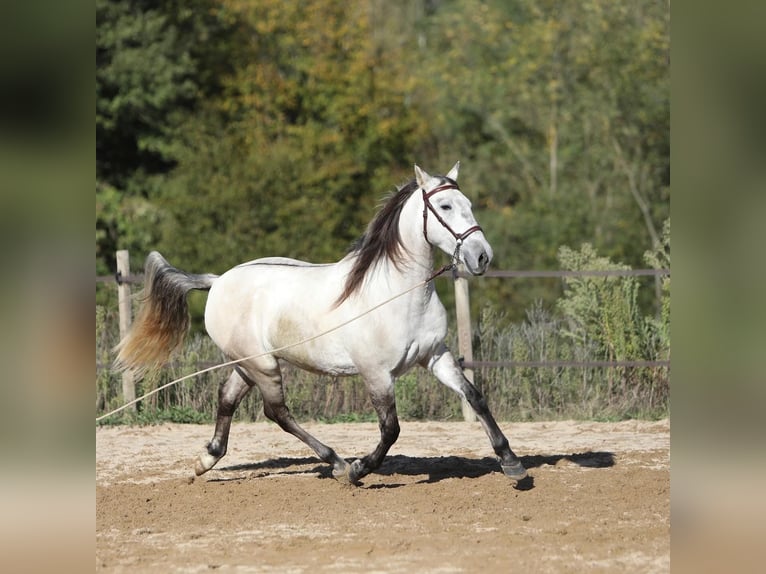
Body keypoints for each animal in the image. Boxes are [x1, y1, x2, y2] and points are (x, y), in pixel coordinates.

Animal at [117, 162, 528, 486]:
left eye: (469, 205)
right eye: (444, 205)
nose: (482, 257)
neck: (397, 293)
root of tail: (218, 281)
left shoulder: (435, 356)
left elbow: (475, 396)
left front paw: (512, 464)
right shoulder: (376, 374)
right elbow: (391, 429)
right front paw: (359, 469)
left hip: (248, 363)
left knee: (228, 398)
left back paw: (206, 460)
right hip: (261, 364)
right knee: (277, 413)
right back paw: (337, 462)